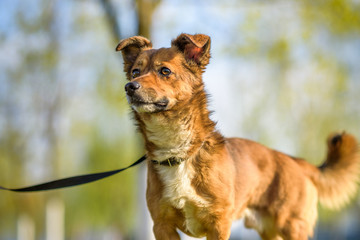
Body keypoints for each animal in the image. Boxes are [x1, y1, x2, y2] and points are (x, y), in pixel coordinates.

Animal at [116, 33, 360, 240]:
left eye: (165, 71)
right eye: (135, 72)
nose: (129, 86)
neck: (178, 150)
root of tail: (297, 162)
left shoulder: (218, 224)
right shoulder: (162, 225)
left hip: (293, 226)